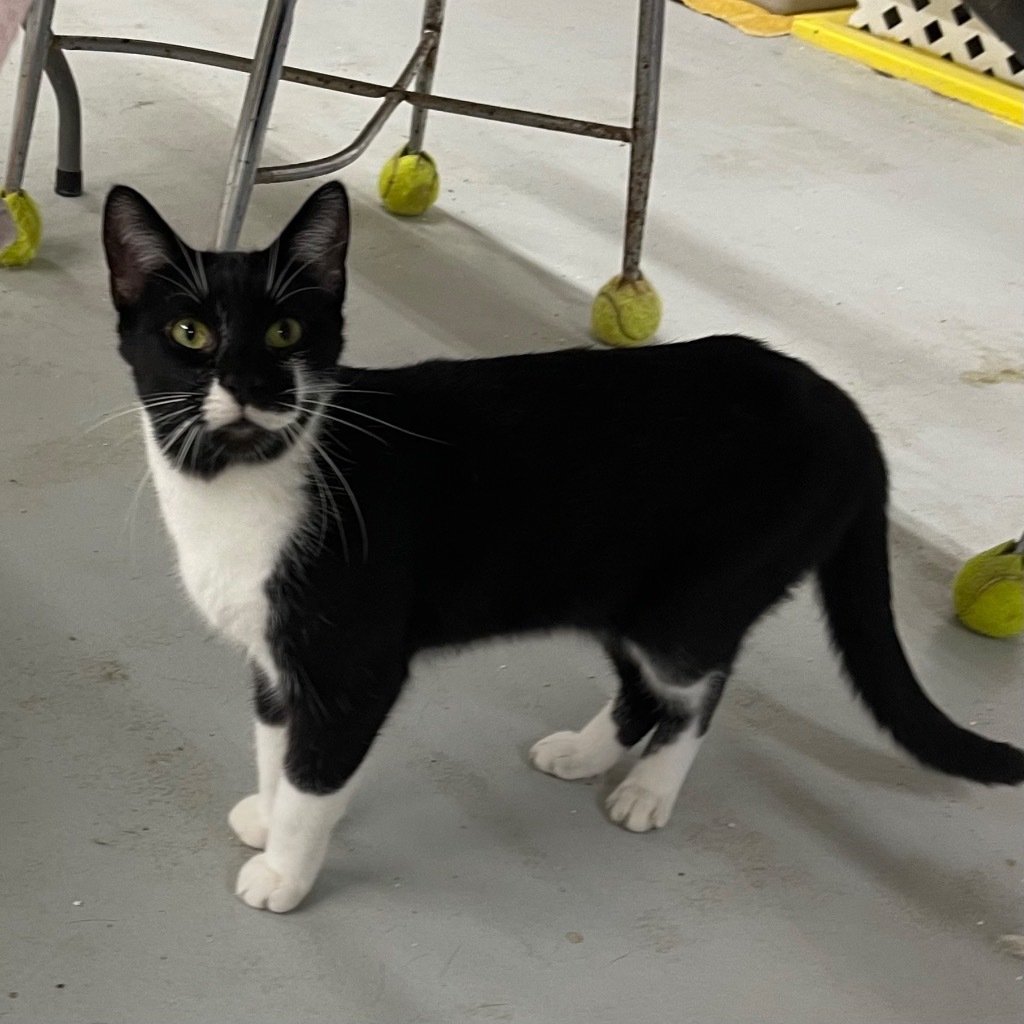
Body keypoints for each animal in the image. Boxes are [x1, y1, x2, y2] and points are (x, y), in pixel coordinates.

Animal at [101, 182, 1024, 913]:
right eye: (189, 334)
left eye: (289, 332)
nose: (249, 384)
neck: (240, 483)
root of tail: (840, 402)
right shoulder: (275, 661)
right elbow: (275, 746)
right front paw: (265, 813)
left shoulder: (352, 666)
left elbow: (313, 773)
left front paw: (285, 870)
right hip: (620, 587)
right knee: (646, 689)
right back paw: (584, 754)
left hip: (688, 603)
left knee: (698, 687)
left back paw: (648, 790)